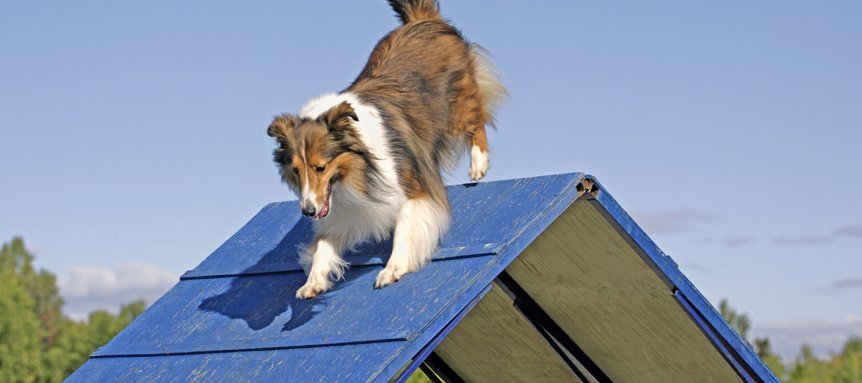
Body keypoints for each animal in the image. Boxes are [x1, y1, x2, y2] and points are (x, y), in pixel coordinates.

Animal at [266, 0, 502, 300]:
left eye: (320, 167)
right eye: (295, 171)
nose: (307, 211)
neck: (359, 167)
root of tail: (420, 20)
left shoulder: (412, 187)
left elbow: (403, 229)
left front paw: (392, 269)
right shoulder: (343, 210)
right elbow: (322, 246)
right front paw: (313, 282)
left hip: (457, 105)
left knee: (477, 121)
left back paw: (478, 165)